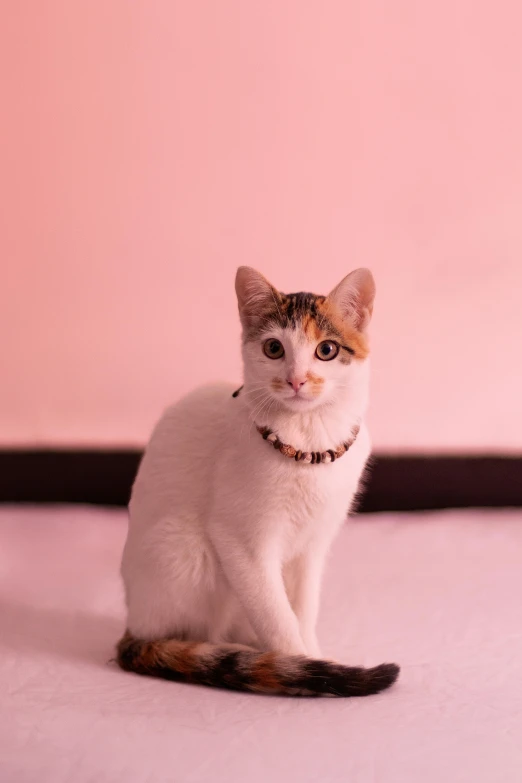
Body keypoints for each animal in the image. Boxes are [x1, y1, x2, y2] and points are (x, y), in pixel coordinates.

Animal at [115, 268, 398, 700]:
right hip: (186, 548)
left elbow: (303, 608)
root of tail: (134, 625)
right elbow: (276, 615)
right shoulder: (240, 542)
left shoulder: (313, 546)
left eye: (327, 350)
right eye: (273, 348)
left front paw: (314, 656)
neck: (308, 436)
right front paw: (302, 668)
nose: (296, 380)